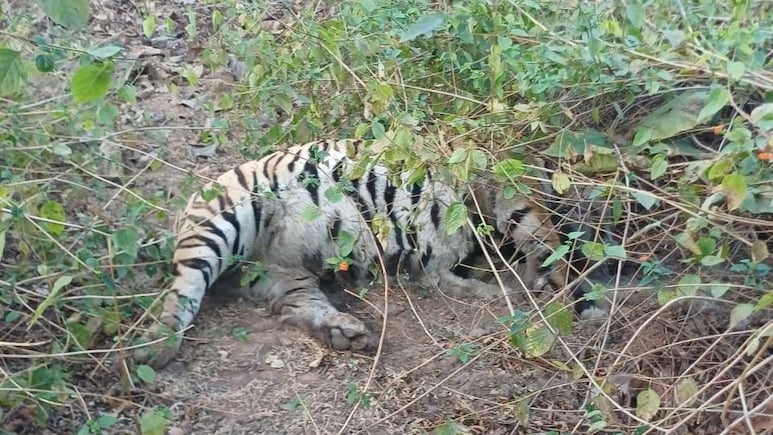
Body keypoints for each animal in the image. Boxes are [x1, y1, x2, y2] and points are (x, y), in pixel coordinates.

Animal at [133, 138, 607, 369]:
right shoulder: (503, 204)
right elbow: (543, 250)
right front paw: (551, 290)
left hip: (287, 272)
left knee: (292, 306)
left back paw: (344, 332)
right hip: (223, 223)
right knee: (182, 291)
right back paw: (150, 350)